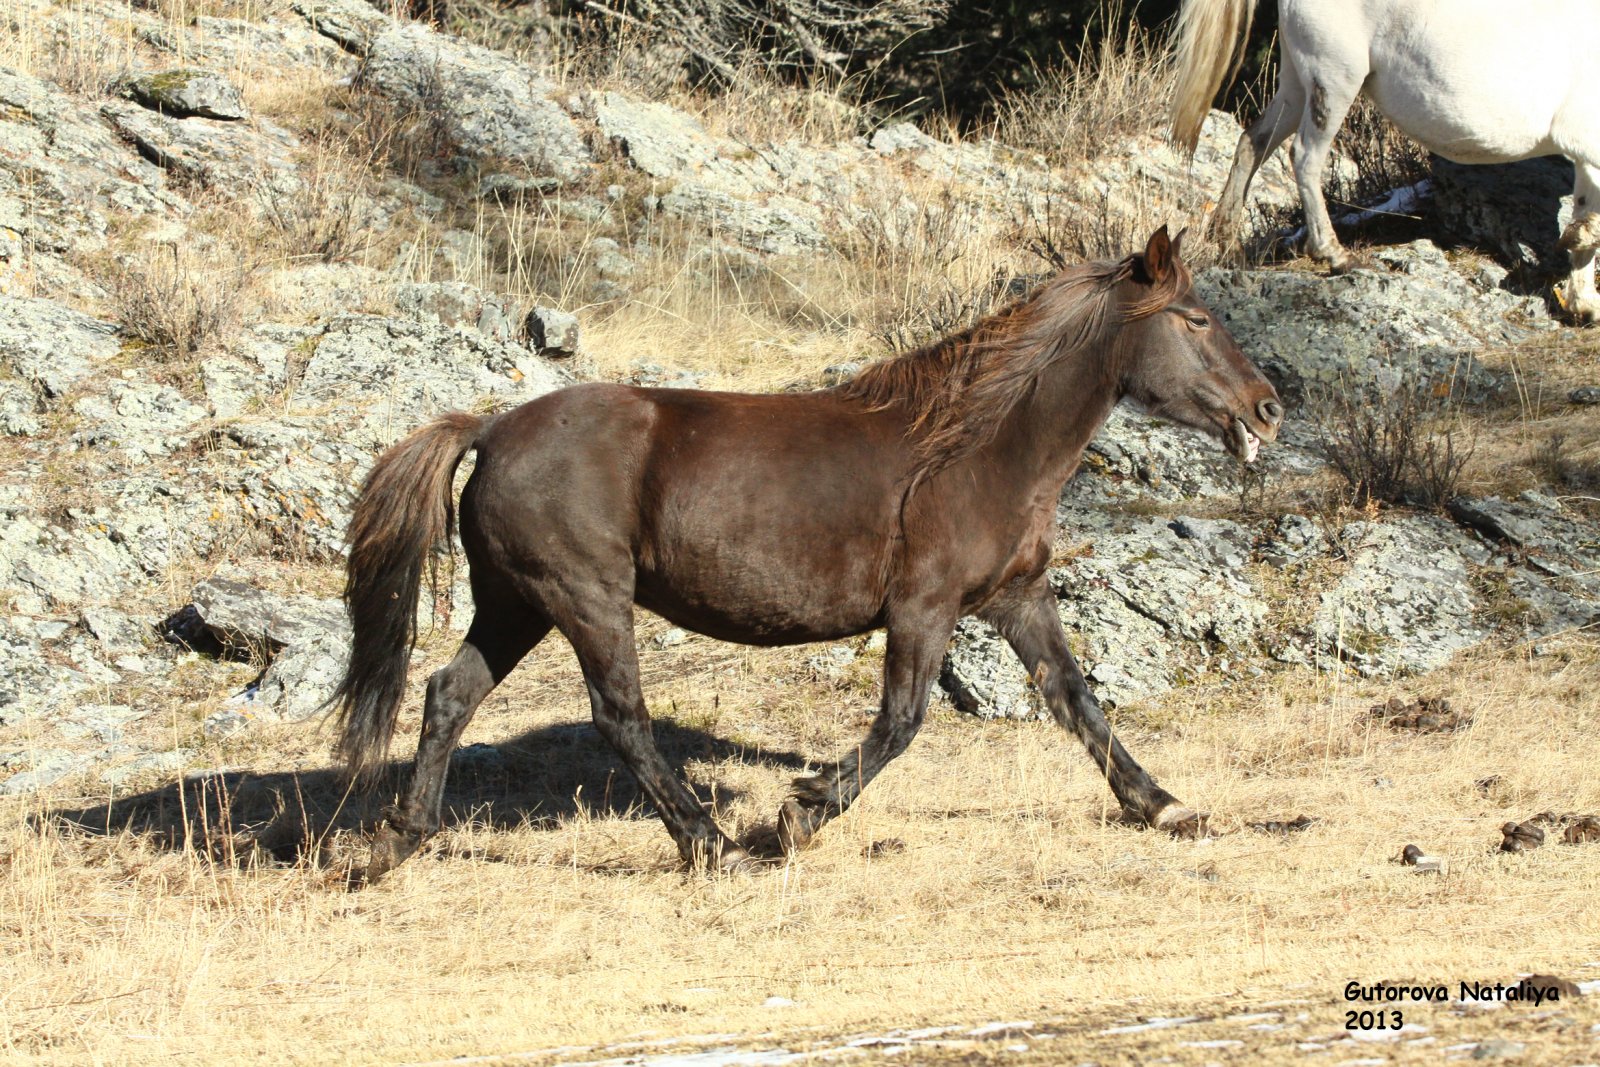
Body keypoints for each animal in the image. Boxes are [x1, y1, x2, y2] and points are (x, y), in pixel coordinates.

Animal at [331, 230, 1280, 883]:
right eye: (1196, 319)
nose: (1267, 409)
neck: (976, 447)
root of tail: (490, 429)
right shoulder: (924, 608)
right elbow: (900, 723)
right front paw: (796, 816)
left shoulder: (1018, 597)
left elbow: (1079, 703)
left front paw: (1167, 807)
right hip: (584, 599)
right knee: (620, 716)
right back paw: (715, 846)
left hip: (516, 605)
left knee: (448, 694)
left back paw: (398, 842)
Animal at [1164, 0, 1600, 321]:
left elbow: (1584, 215)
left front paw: (1583, 305)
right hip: (1334, 79)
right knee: (1304, 157)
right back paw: (1335, 255)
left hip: (1295, 81)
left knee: (1253, 142)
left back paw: (1228, 241)